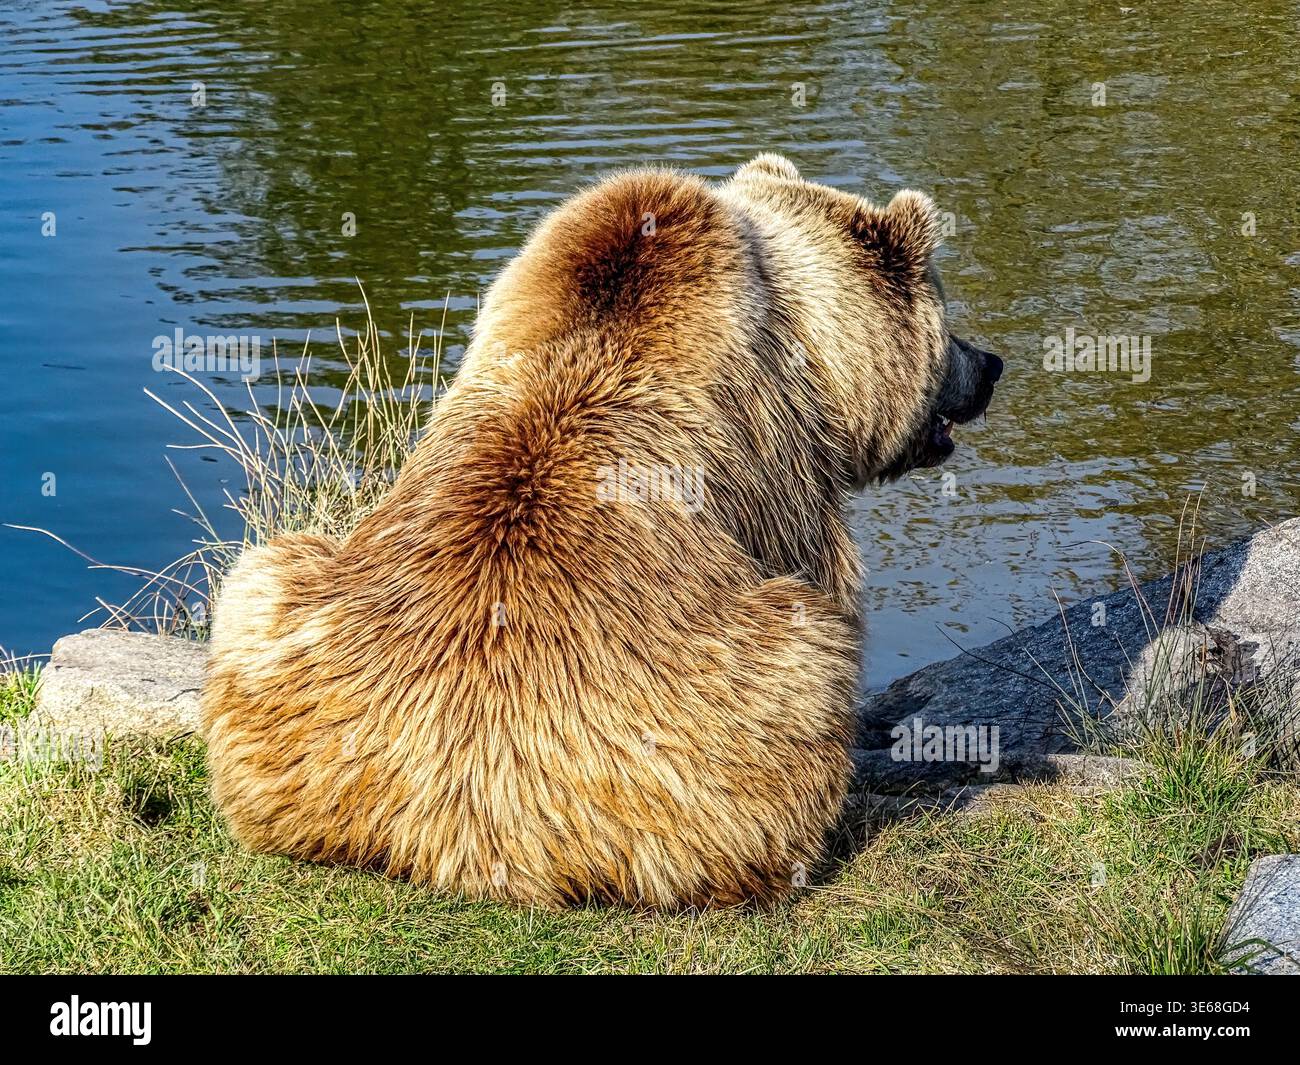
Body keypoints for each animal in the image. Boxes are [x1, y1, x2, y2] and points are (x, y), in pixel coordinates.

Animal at [201, 154, 1002, 908]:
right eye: (946, 317)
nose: (991, 364)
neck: (812, 351)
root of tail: (466, 833)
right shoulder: (783, 475)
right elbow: (825, 579)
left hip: (279, 632)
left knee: (256, 583)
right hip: (709, 728)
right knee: (801, 662)